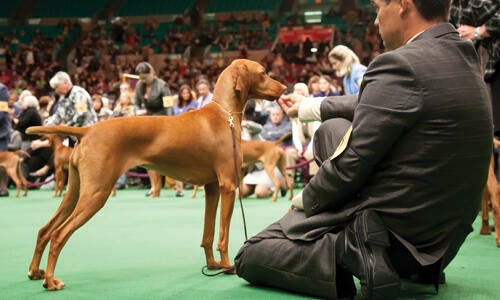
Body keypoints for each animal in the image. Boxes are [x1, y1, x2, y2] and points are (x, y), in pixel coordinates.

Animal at [25, 58, 288, 290]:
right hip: (96, 193)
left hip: (75, 191)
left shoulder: (212, 187)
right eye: (263, 72)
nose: (285, 88)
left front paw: (212, 265)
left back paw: (35, 272)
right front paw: (226, 266)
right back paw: (51, 281)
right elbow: (223, 235)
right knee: (58, 234)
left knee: (44, 230)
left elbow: (208, 233)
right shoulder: (228, 185)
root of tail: (87, 130)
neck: (226, 115)